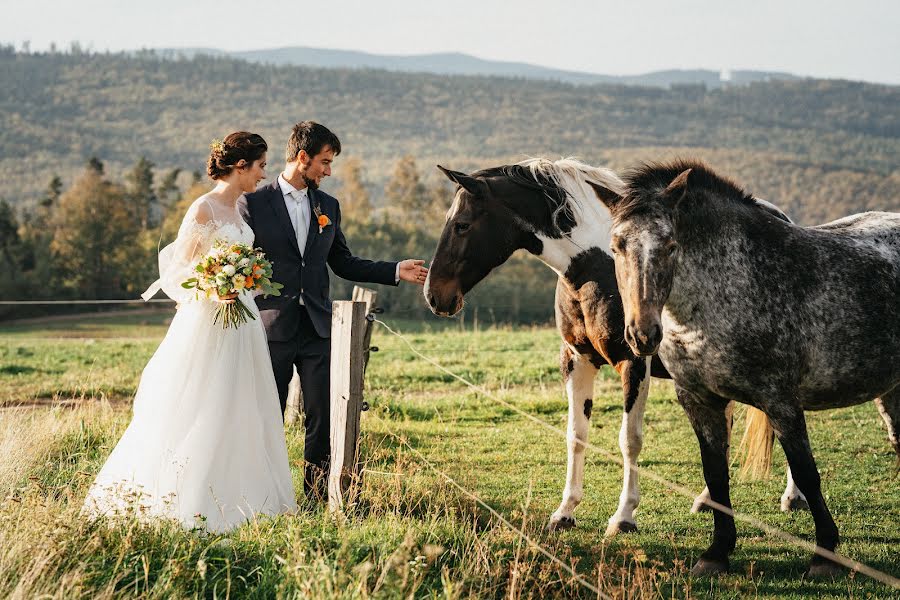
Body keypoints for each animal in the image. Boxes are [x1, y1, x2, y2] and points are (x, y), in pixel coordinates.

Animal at [424, 159, 796, 536]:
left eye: (462, 225)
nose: (433, 295)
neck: (593, 267)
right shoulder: (577, 360)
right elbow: (576, 434)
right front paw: (564, 512)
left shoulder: (635, 362)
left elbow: (629, 440)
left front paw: (624, 516)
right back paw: (709, 500)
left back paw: (793, 497)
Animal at [596, 159, 900, 576]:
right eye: (616, 247)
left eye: (671, 246)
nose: (643, 334)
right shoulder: (698, 400)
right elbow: (715, 476)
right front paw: (717, 552)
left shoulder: (781, 402)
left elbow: (806, 473)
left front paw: (825, 554)